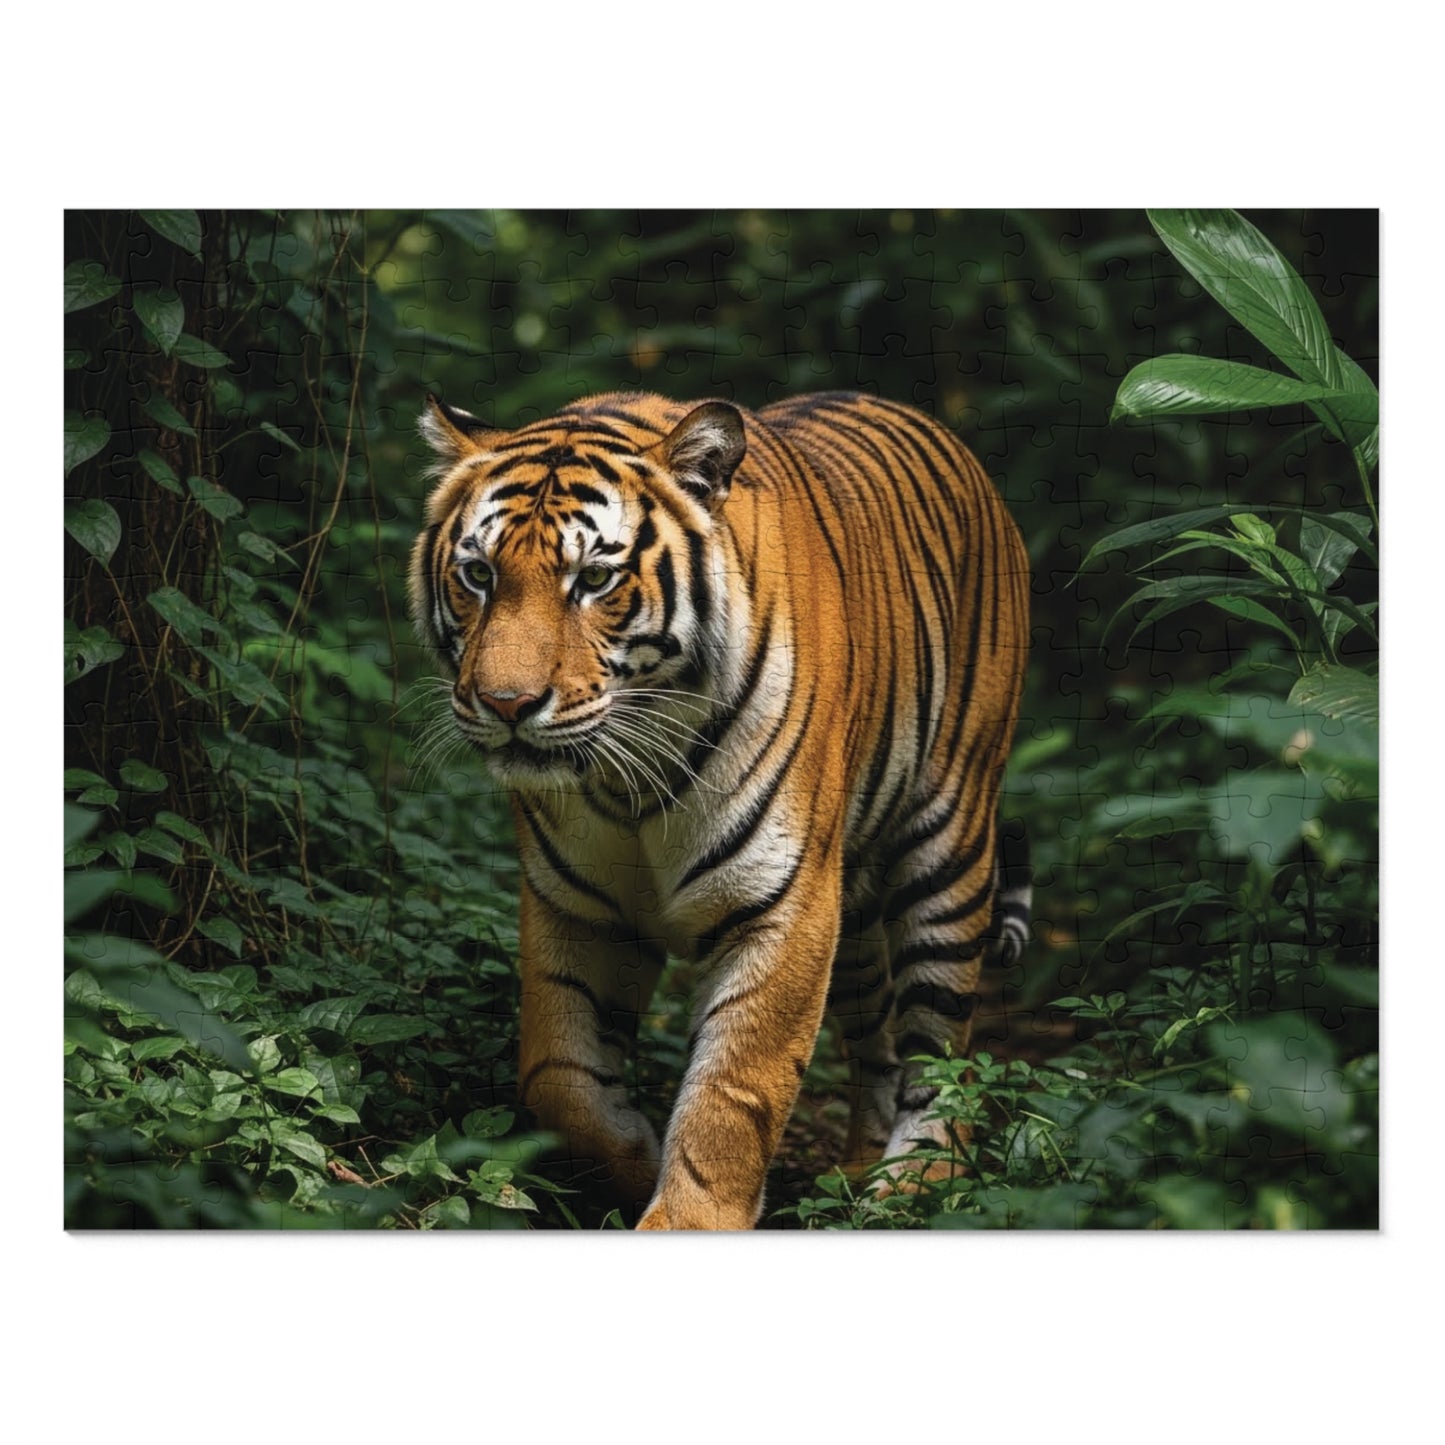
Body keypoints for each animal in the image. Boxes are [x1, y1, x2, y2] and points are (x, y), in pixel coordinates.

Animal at [409, 388, 1030, 1230]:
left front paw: (687, 1215)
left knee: (939, 1045)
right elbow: (556, 1074)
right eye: (477, 573)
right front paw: (635, 1158)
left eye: (594, 579)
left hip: (947, 846)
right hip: (853, 906)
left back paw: (914, 1184)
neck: (628, 778)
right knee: (876, 1041)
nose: (506, 704)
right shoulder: (574, 904)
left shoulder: (782, 905)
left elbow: (733, 1092)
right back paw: (855, 1174)